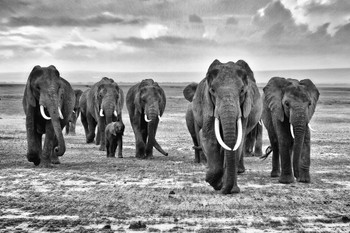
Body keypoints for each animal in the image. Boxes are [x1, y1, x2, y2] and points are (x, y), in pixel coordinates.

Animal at [182, 59, 262, 194]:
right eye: (212, 90)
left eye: (242, 91)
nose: (222, 189)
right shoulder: (208, 105)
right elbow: (210, 138)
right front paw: (216, 182)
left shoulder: (244, 107)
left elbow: (237, 141)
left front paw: (229, 188)